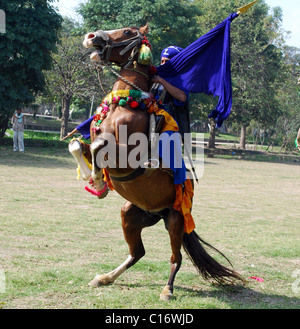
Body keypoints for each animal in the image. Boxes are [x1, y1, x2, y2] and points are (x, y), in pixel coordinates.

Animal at [68, 23, 244, 300]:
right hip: (130, 214)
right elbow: (77, 144)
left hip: (175, 221)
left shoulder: (127, 158)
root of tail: (159, 214)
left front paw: (97, 181)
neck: (124, 104)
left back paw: (167, 290)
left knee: (176, 258)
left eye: (127, 32)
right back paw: (104, 278)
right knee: (137, 253)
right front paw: (94, 180)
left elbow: (98, 147)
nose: (91, 36)